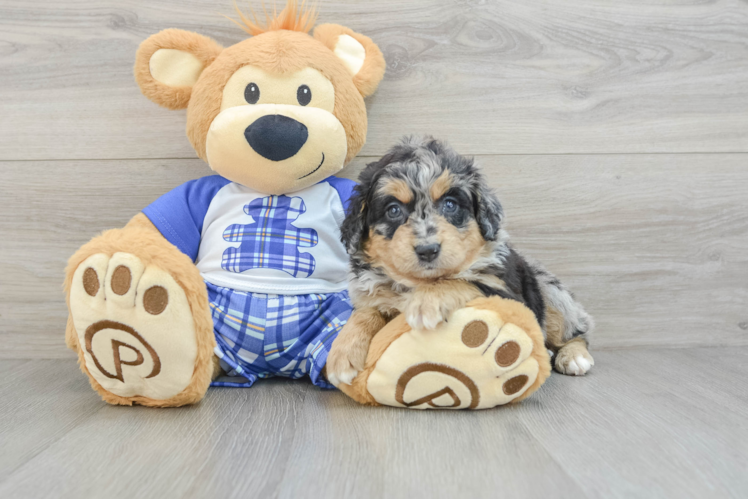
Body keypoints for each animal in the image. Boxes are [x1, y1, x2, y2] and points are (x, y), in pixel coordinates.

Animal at [324, 137, 592, 386]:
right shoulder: (369, 294)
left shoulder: (510, 296)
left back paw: (573, 356)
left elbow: (464, 281)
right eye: (393, 210)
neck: (417, 283)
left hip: (549, 290)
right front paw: (342, 353)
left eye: (450, 204)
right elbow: (365, 312)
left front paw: (426, 303)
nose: (428, 250)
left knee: (577, 331)